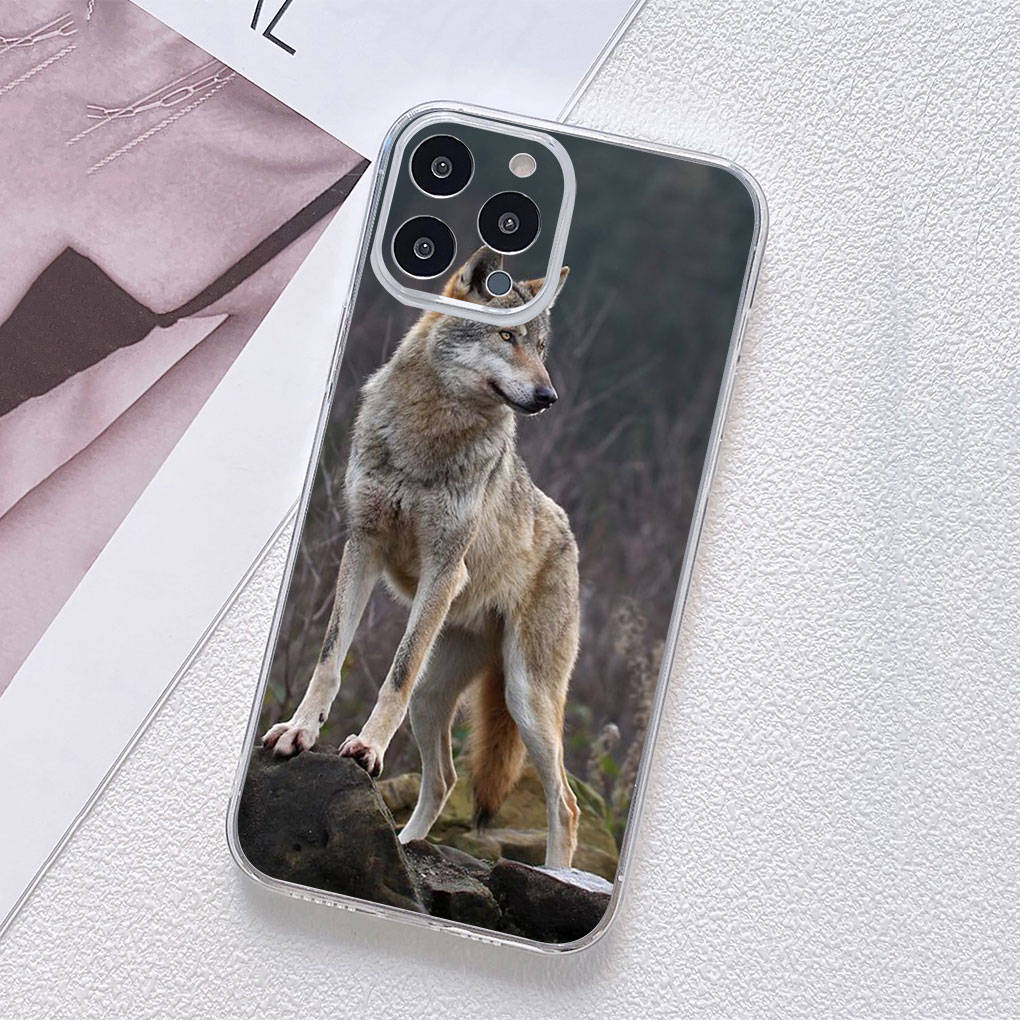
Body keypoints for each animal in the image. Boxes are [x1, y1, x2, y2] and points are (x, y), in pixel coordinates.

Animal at [263, 246, 581, 867]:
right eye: (507, 336)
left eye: (540, 347)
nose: (549, 396)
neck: (428, 435)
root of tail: (569, 534)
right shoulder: (362, 544)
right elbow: (329, 658)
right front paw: (300, 730)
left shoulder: (444, 569)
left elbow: (396, 671)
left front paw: (364, 747)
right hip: (435, 700)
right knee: (447, 779)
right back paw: (407, 846)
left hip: (526, 698)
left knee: (566, 803)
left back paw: (560, 877)